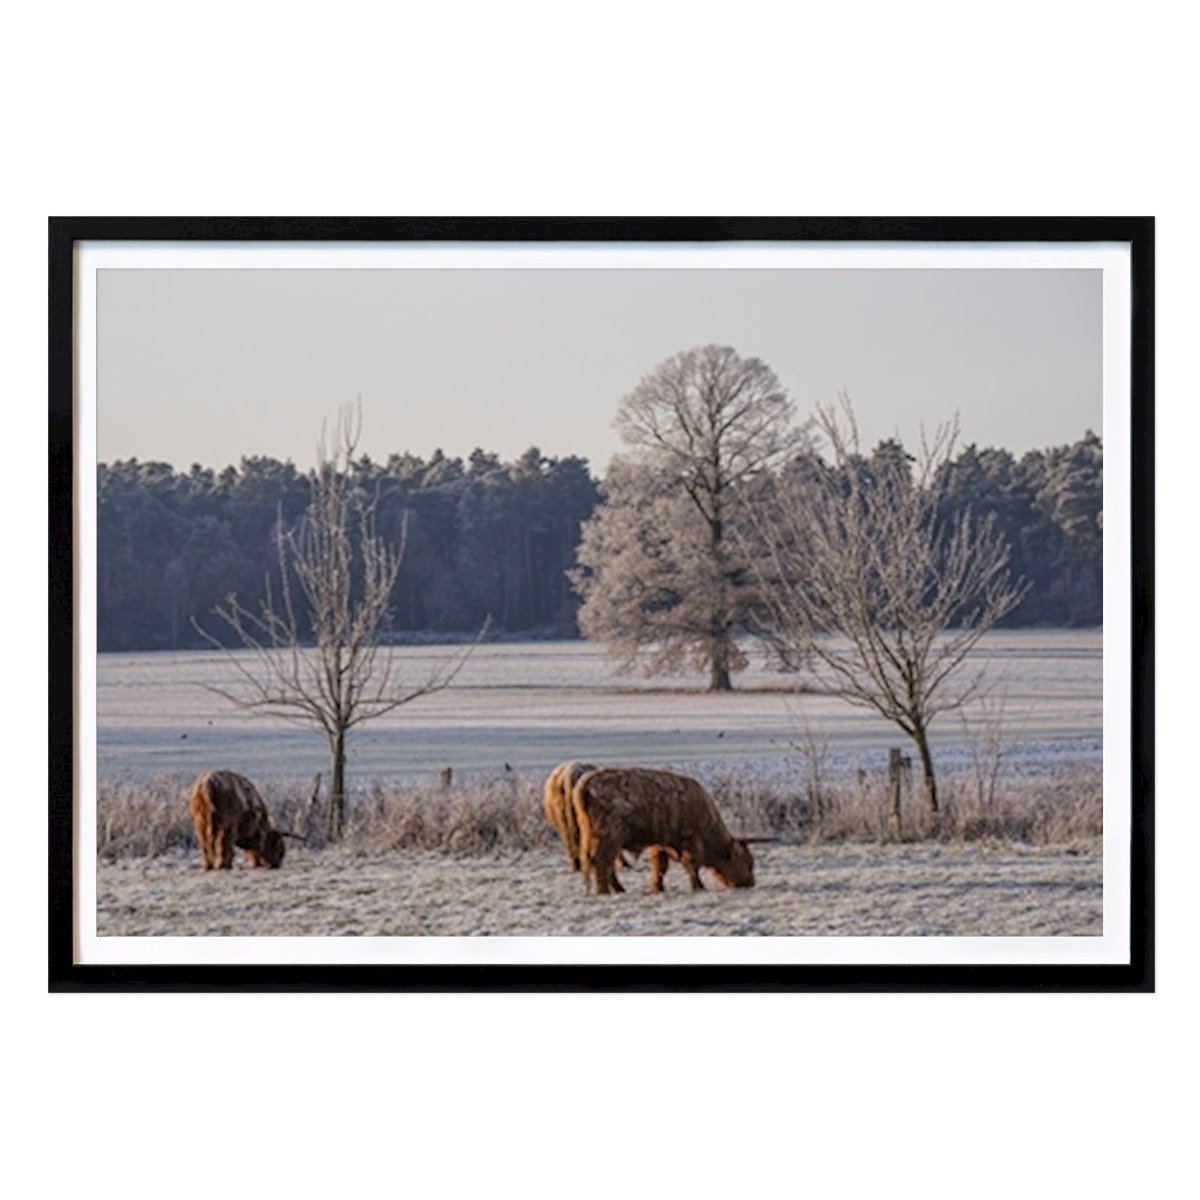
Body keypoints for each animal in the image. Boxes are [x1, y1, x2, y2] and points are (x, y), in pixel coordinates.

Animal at [568, 768, 748, 892]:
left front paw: (657, 887)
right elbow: (691, 866)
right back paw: (606, 890)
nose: (749, 883)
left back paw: (617, 889)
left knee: (602, 863)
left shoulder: (660, 844)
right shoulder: (690, 841)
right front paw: (698, 886)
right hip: (609, 838)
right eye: (746, 862)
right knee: (601, 862)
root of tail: (586, 783)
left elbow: (660, 867)